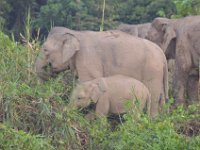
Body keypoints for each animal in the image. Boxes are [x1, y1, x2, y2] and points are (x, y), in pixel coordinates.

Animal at [35, 26, 168, 117]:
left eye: (45, 49)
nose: (49, 68)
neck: (76, 33)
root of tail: (162, 54)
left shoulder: (87, 58)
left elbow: (87, 80)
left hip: (152, 72)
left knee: (153, 97)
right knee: (161, 98)